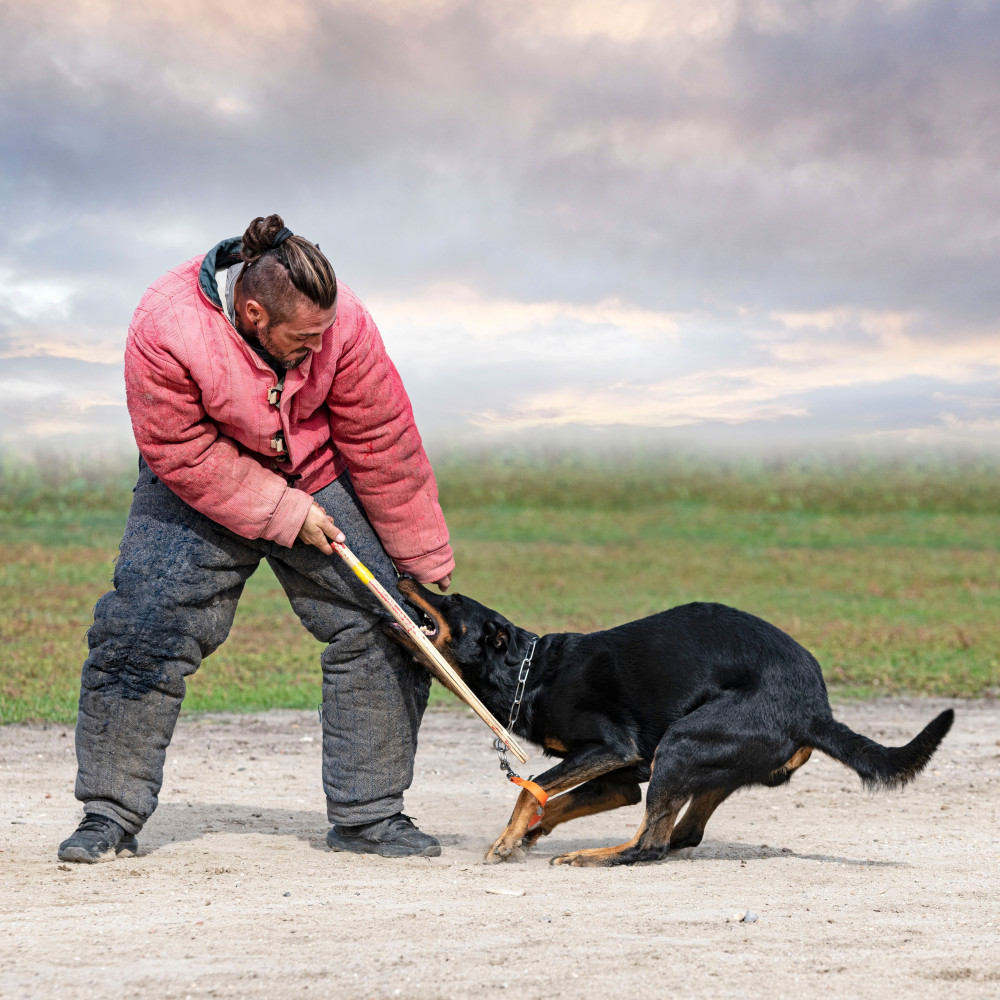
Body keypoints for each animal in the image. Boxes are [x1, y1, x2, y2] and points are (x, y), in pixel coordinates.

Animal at [386, 580, 956, 868]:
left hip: (683, 743)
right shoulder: (618, 780)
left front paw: (507, 842)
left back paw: (591, 856)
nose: (402, 576)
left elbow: (529, 791)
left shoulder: (611, 749)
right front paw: (528, 834)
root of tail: (813, 710)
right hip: (701, 759)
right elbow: (554, 800)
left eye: (452, 599)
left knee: (651, 846)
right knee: (682, 835)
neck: (531, 670)